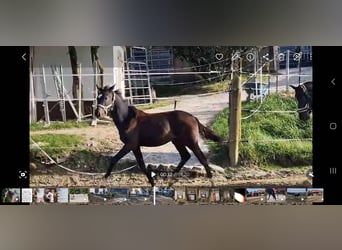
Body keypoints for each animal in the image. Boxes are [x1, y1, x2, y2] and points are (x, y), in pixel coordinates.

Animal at [95, 85, 224, 187]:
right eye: (97, 97)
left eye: (106, 97)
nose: (97, 113)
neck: (127, 119)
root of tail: (193, 117)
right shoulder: (135, 146)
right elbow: (142, 165)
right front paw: (153, 183)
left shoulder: (130, 145)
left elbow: (114, 159)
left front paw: (103, 180)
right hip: (177, 141)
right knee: (185, 156)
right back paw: (170, 180)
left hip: (191, 142)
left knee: (202, 159)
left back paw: (211, 182)